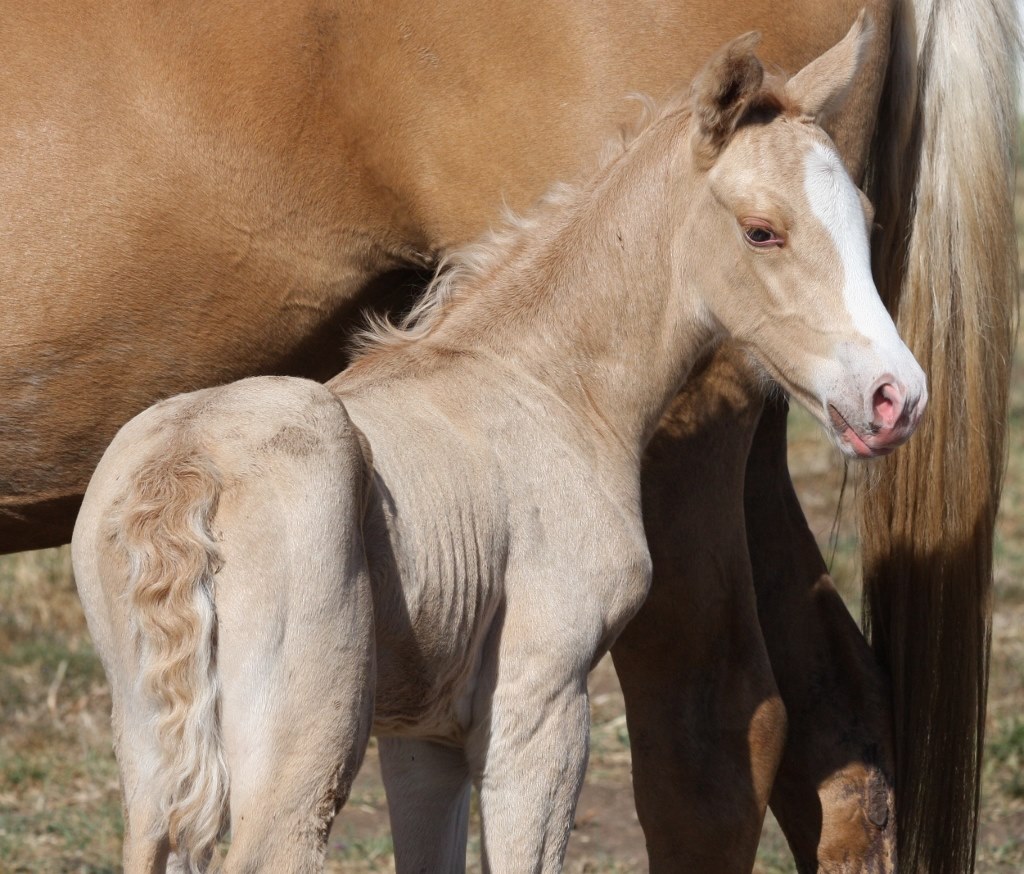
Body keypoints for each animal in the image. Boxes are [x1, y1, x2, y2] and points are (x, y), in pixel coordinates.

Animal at [2, 1, 1015, 874]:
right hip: (303, 742)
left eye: (865, 221)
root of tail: (187, 474)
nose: (893, 397)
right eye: (763, 231)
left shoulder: (424, 733)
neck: (534, 379)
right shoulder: (539, 697)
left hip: (160, 741)